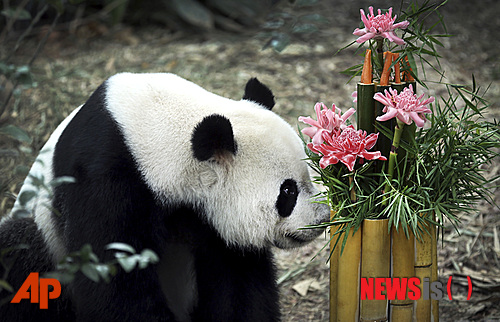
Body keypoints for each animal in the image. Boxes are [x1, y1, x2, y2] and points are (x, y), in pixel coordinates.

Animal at [0, 73, 332, 322]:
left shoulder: (209, 218)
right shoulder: (105, 178)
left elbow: (238, 283)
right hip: (42, 233)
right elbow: (114, 281)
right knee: (20, 258)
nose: (322, 218)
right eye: (288, 191)